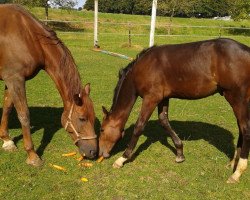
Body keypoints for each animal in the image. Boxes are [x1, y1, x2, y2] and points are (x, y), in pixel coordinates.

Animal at [0, 4, 97, 166]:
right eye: (82, 118)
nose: (93, 152)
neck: (28, 35)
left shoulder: (10, 80)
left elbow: (7, 108)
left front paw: (7, 141)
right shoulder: (16, 79)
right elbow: (24, 114)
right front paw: (32, 155)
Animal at [98, 38, 250, 184]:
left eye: (102, 130)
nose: (100, 153)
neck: (143, 67)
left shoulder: (151, 98)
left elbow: (139, 127)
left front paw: (122, 159)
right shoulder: (163, 98)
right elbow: (164, 121)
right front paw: (180, 153)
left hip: (236, 99)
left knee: (245, 129)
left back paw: (237, 173)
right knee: (241, 129)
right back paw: (233, 163)